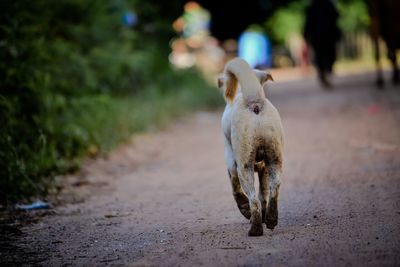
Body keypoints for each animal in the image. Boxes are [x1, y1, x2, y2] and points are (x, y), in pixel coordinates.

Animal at [219, 58, 284, 237]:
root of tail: (254, 101)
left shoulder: (231, 163)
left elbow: (236, 189)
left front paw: (245, 210)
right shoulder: (264, 170)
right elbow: (263, 195)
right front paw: (265, 216)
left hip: (244, 165)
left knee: (253, 199)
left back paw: (255, 228)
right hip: (274, 160)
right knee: (273, 190)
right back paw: (270, 219)